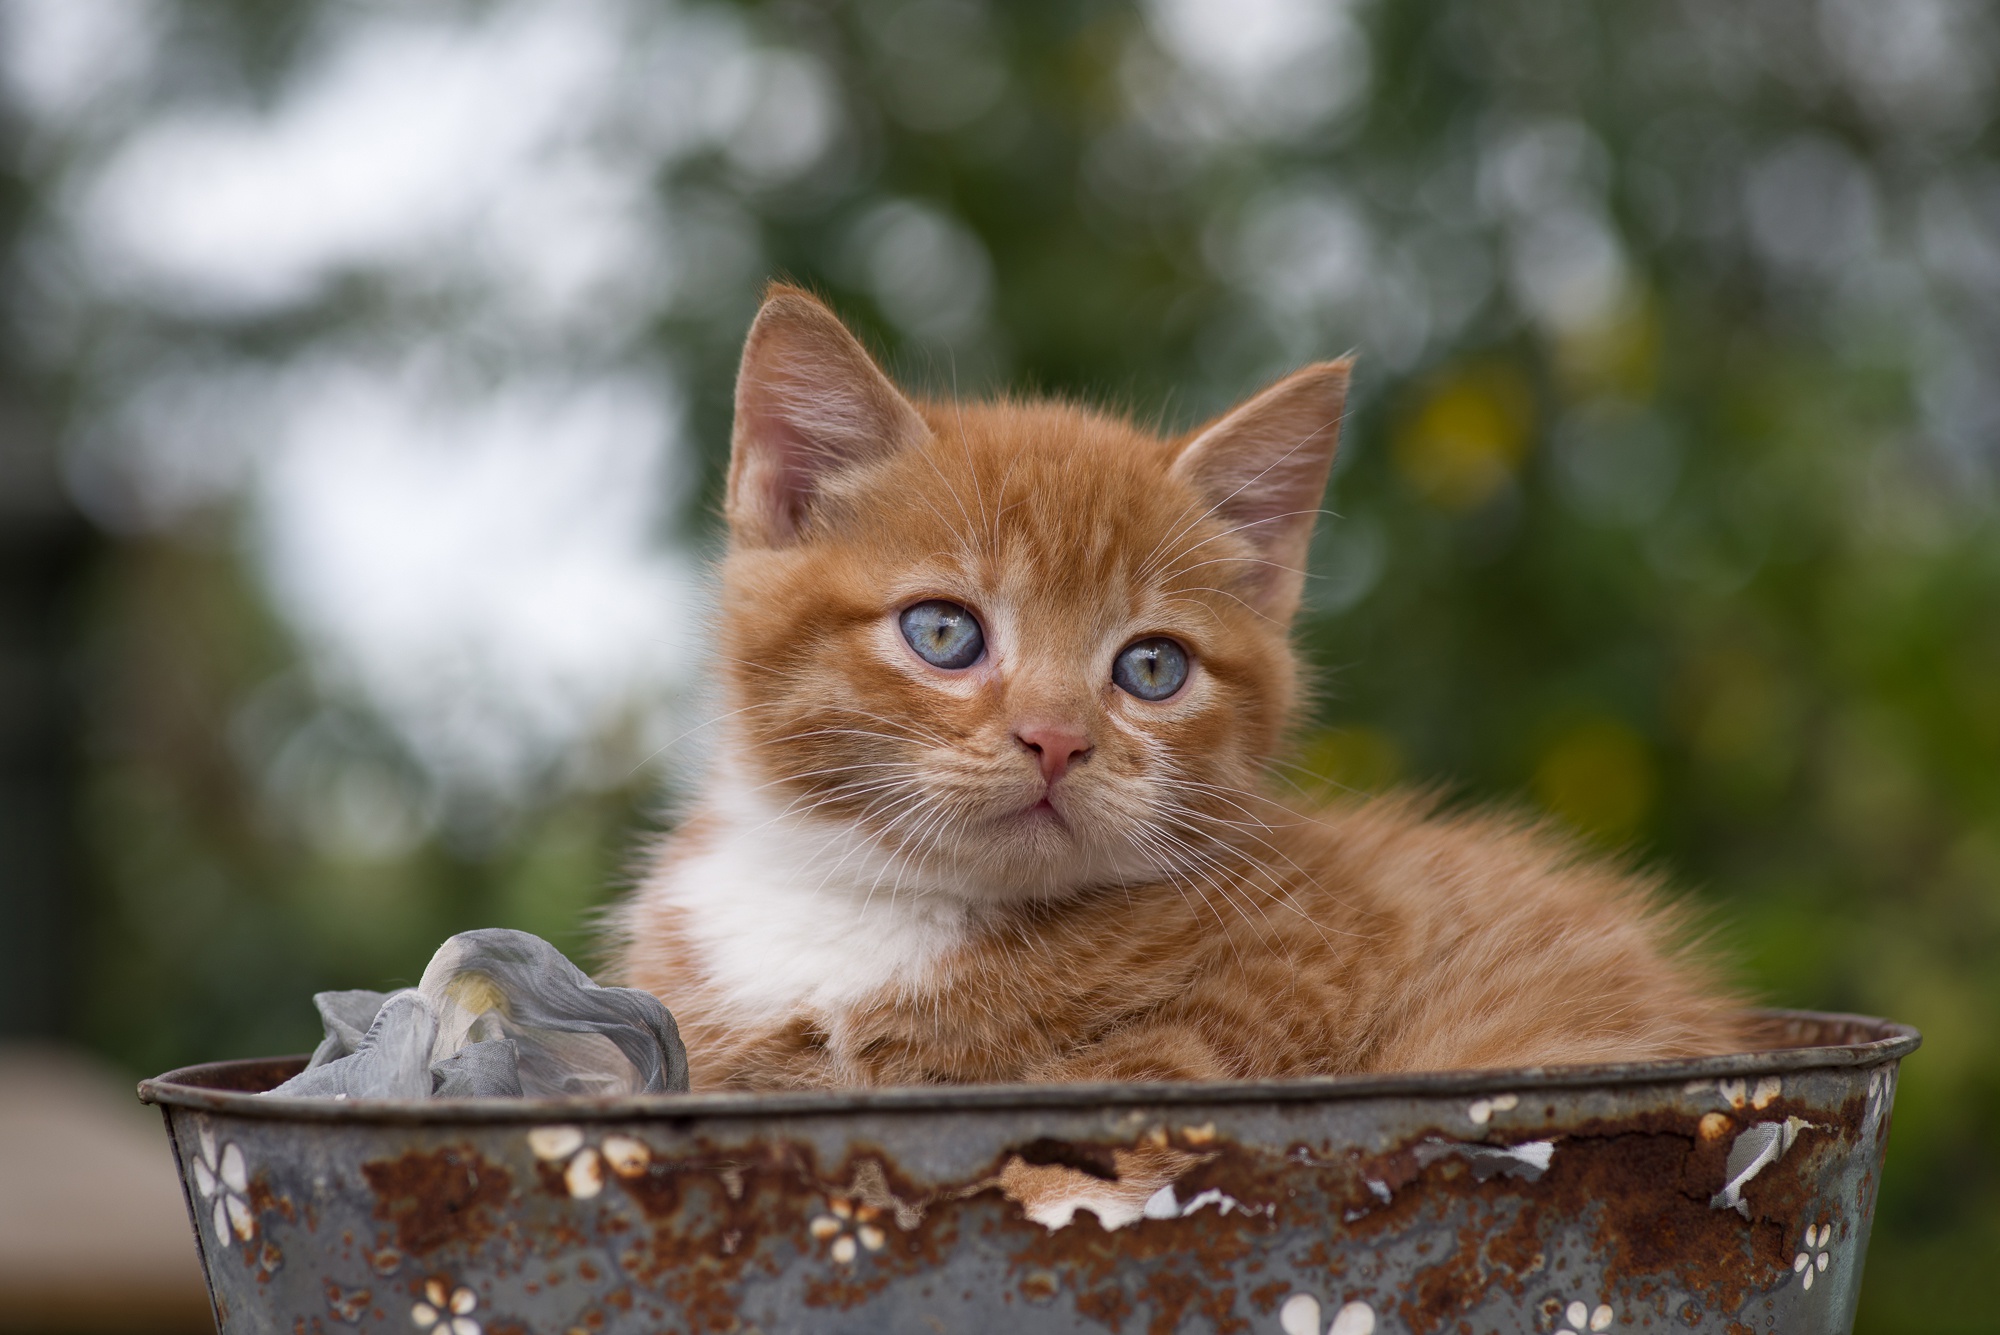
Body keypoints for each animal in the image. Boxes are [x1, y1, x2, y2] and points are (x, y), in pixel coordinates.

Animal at [612, 287, 1752, 1087]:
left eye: (1151, 668)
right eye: (943, 633)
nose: (1055, 738)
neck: (872, 900)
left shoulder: (1318, 963)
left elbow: (1127, 1080)